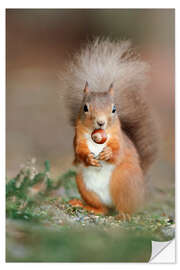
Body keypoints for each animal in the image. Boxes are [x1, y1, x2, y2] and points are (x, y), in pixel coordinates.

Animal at [59, 37, 158, 219]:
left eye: (114, 109)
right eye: (85, 107)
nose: (101, 122)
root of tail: (141, 193)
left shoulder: (119, 139)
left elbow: (118, 152)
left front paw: (108, 154)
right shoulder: (78, 138)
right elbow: (79, 152)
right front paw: (88, 158)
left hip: (124, 181)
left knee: (124, 207)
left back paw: (124, 215)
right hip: (83, 184)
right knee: (103, 209)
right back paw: (87, 206)